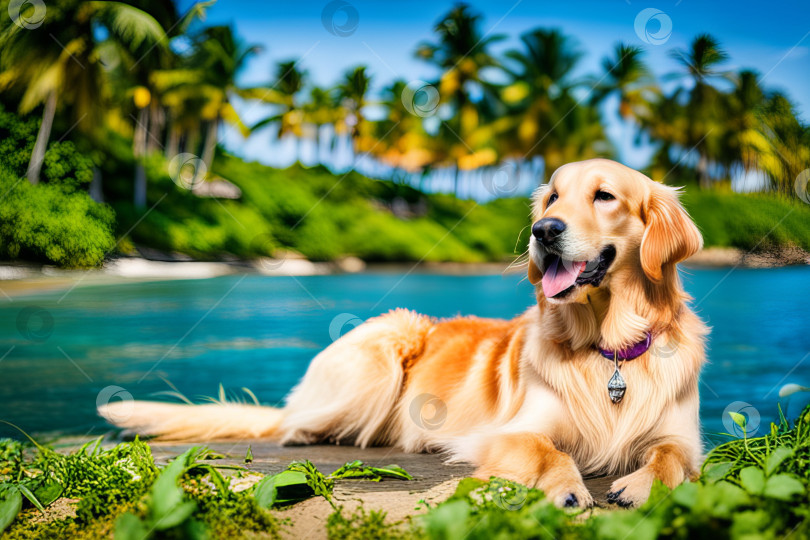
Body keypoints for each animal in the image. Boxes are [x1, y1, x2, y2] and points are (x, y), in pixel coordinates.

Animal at [102, 158, 708, 508]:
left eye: (604, 196)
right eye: (554, 197)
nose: (543, 230)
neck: (609, 350)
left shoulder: (683, 437)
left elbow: (669, 458)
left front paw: (639, 485)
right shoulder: (507, 432)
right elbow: (548, 452)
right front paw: (566, 490)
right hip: (385, 345)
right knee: (296, 420)